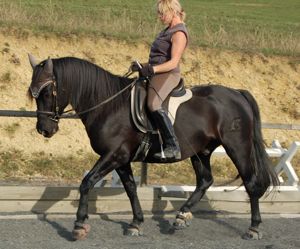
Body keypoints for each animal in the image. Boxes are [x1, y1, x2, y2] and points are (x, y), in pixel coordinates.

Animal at [27, 55, 278, 241]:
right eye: (33, 93)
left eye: (47, 92)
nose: (44, 129)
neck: (108, 105)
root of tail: (237, 93)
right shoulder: (121, 158)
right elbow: (130, 188)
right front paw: (136, 223)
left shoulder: (114, 155)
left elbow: (87, 182)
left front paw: (79, 225)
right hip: (201, 151)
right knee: (205, 180)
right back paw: (181, 216)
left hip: (237, 146)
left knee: (250, 182)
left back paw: (253, 228)